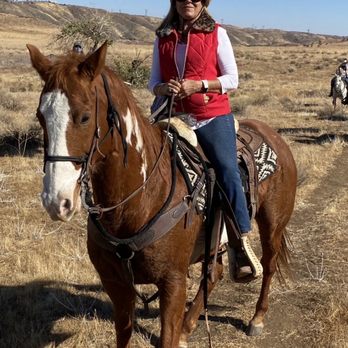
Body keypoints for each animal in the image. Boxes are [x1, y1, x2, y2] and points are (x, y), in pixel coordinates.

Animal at [28, 42, 298, 348]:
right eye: (41, 116)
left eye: (84, 116)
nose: (55, 201)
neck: (140, 200)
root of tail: (275, 136)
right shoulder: (117, 286)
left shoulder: (173, 283)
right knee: (214, 272)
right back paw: (188, 328)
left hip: (272, 224)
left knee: (268, 264)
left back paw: (257, 318)